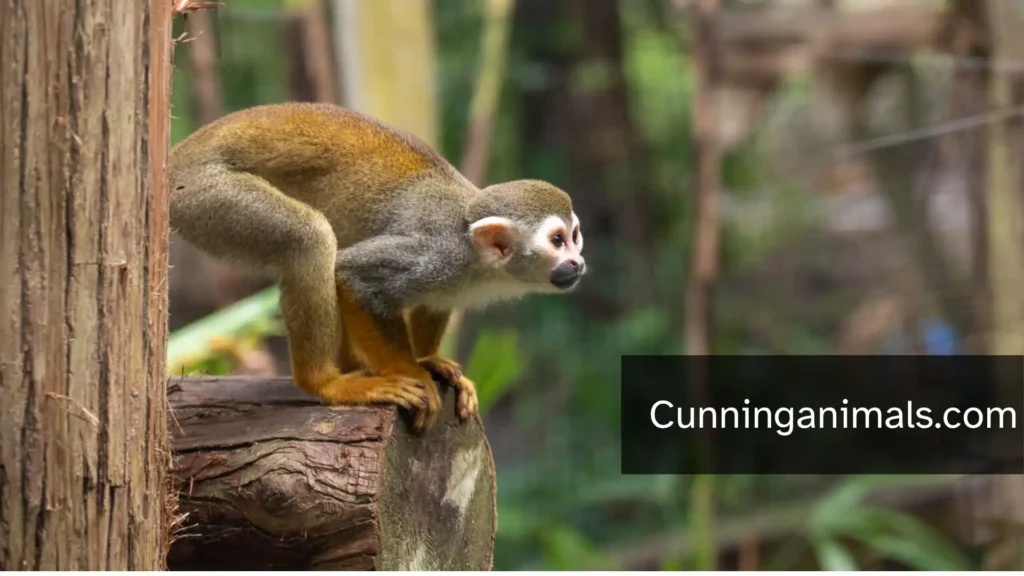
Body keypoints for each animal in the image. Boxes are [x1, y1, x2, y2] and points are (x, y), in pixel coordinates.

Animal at [168, 102, 586, 433]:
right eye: (556, 240)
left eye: (575, 235)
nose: (577, 262)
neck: (478, 258)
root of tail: (179, 156)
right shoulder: (435, 255)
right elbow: (353, 274)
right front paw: (410, 371)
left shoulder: (450, 278)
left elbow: (433, 303)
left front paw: (427, 360)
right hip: (206, 194)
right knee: (309, 238)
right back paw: (324, 382)